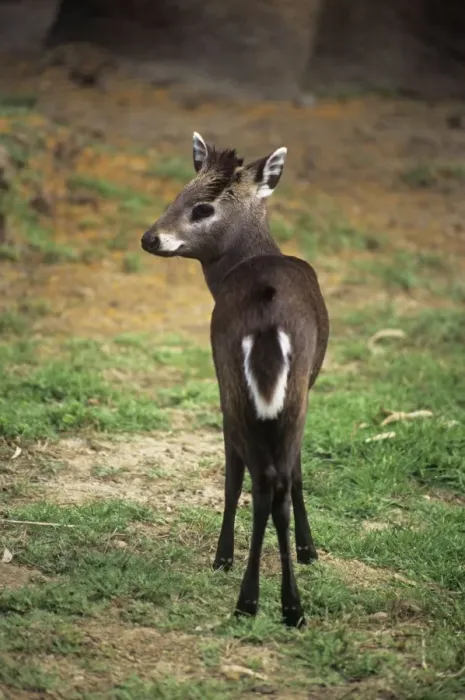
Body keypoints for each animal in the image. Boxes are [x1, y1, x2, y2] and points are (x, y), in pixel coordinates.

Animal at [141, 133, 329, 628]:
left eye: (202, 207)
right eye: (180, 192)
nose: (150, 237)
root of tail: (266, 317)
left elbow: (239, 474)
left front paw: (224, 557)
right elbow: (283, 473)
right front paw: (307, 550)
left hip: (241, 386)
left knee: (265, 479)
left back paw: (263, 600)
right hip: (277, 393)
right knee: (272, 483)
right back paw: (278, 604)